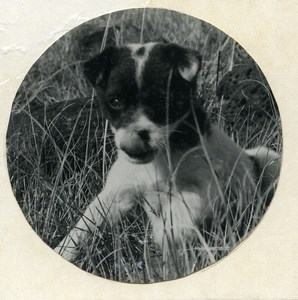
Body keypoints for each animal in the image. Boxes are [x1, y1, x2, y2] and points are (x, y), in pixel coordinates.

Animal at [54, 42, 280, 262]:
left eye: (163, 100)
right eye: (115, 101)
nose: (133, 140)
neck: (160, 159)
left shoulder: (206, 186)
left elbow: (181, 212)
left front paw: (166, 237)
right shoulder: (118, 193)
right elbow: (86, 224)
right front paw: (63, 250)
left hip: (269, 160)